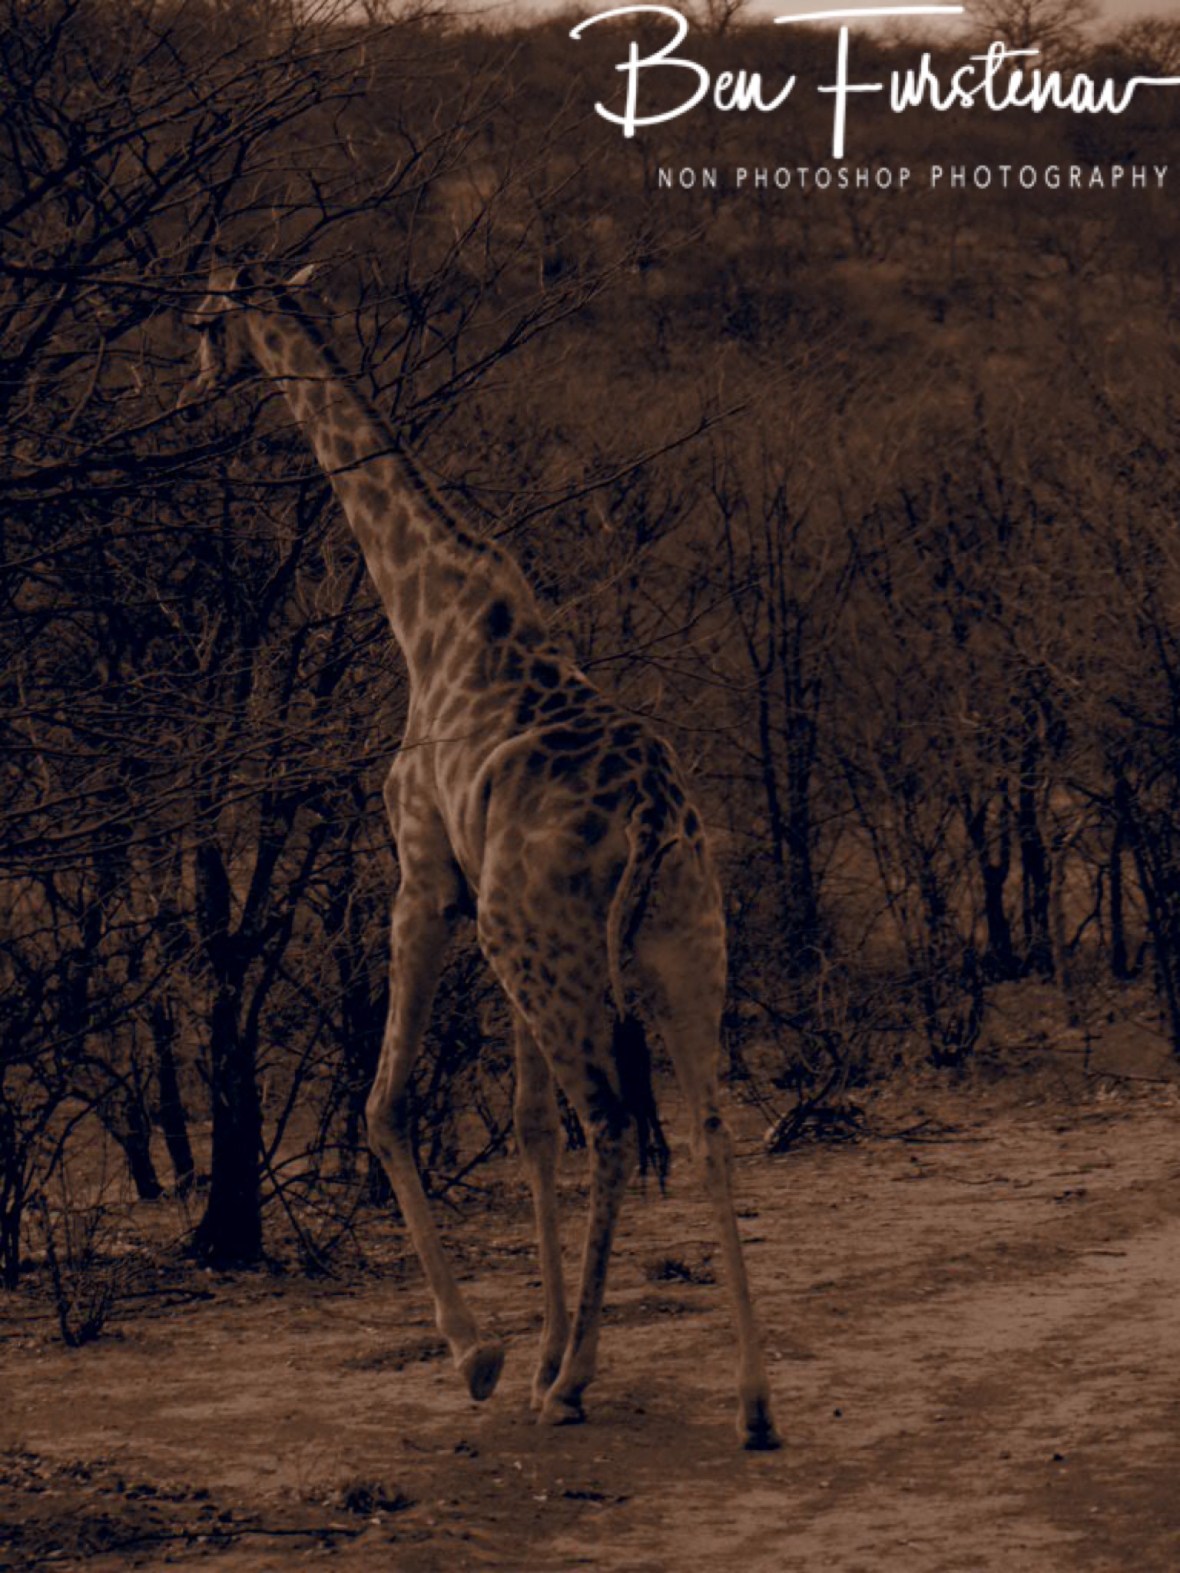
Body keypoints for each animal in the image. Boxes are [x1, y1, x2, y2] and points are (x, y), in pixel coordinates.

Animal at [181, 261, 781, 1450]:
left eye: (204, 321)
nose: (189, 386)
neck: (428, 615)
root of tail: (653, 817)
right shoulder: (493, 921)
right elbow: (528, 1127)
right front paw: (534, 1339)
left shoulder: (426, 884)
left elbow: (386, 1103)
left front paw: (488, 1353)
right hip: (672, 943)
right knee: (706, 1125)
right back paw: (749, 1401)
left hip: (546, 943)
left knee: (613, 1124)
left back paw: (574, 1385)